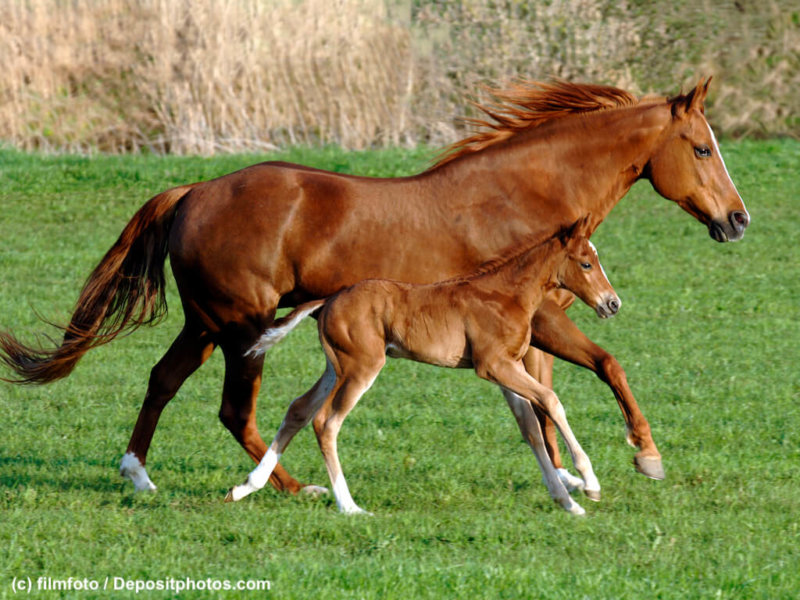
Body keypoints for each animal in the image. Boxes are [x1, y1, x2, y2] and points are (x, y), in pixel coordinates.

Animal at [227, 217, 618, 515]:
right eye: (586, 263)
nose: (612, 303)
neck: (507, 295)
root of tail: (330, 299)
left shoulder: (508, 370)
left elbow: (531, 429)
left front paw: (567, 502)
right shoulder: (493, 365)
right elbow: (551, 401)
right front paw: (589, 483)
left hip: (335, 367)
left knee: (299, 409)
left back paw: (246, 487)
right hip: (361, 367)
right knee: (326, 422)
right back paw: (349, 507)